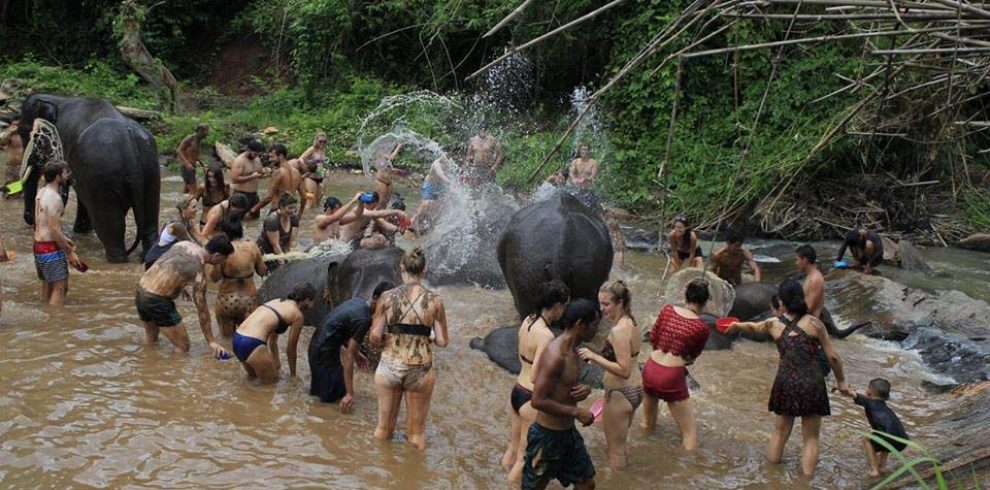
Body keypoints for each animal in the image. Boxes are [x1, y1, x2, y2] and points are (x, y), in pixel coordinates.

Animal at [19, 93, 160, 262]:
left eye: (27, 134)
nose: (30, 220)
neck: (58, 98)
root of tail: (128, 144)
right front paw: (80, 230)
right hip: (149, 168)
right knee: (149, 219)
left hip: (102, 176)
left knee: (111, 226)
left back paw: (117, 259)